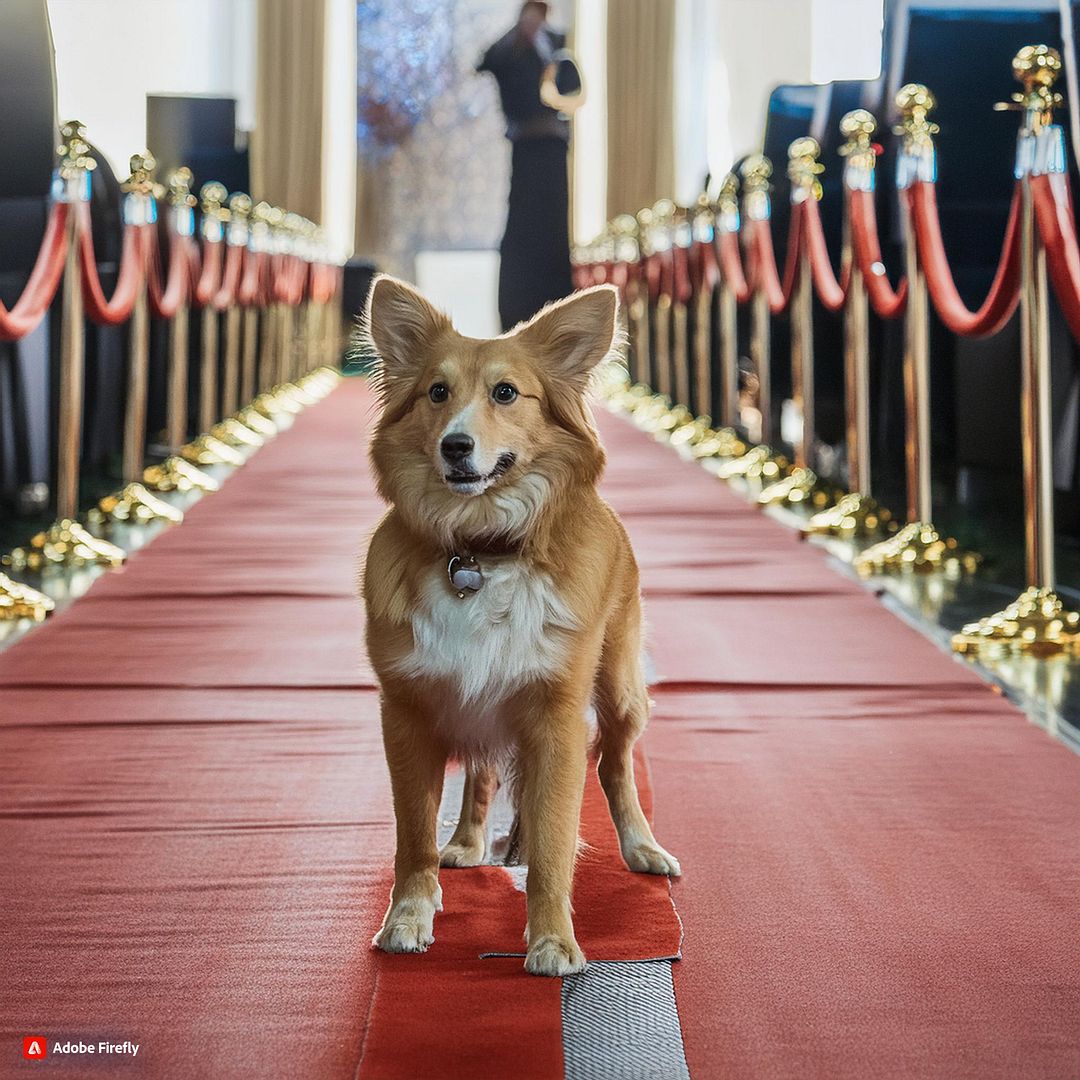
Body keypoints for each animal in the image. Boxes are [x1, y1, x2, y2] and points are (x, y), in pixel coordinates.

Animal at [362, 274, 678, 976]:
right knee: (482, 773)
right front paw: (409, 916)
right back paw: (468, 840)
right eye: (437, 392)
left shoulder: (555, 717)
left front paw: (553, 940)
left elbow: (558, 839)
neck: (481, 548)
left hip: (619, 691)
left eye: (506, 393)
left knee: (614, 766)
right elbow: (412, 837)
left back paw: (641, 848)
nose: (455, 445)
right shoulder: (407, 712)